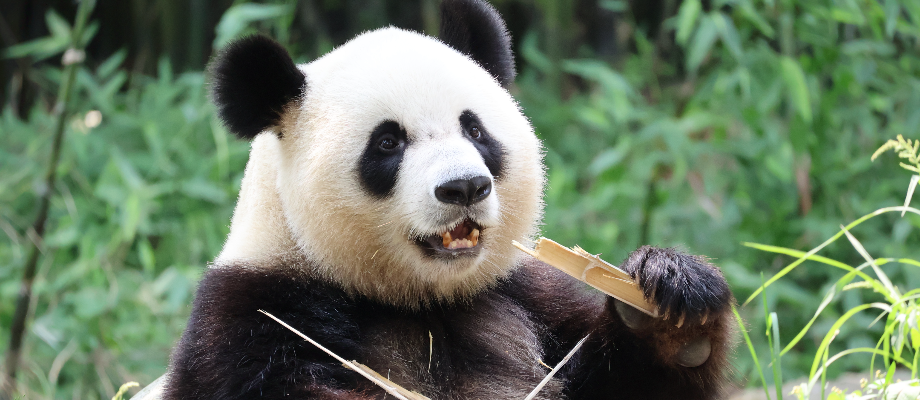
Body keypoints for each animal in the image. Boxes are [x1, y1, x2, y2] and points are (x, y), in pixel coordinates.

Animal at [160, 0, 736, 399]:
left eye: (475, 130)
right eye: (387, 142)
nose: (464, 187)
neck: (423, 302)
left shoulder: (524, 295)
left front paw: (672, 297)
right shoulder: (250, 319)